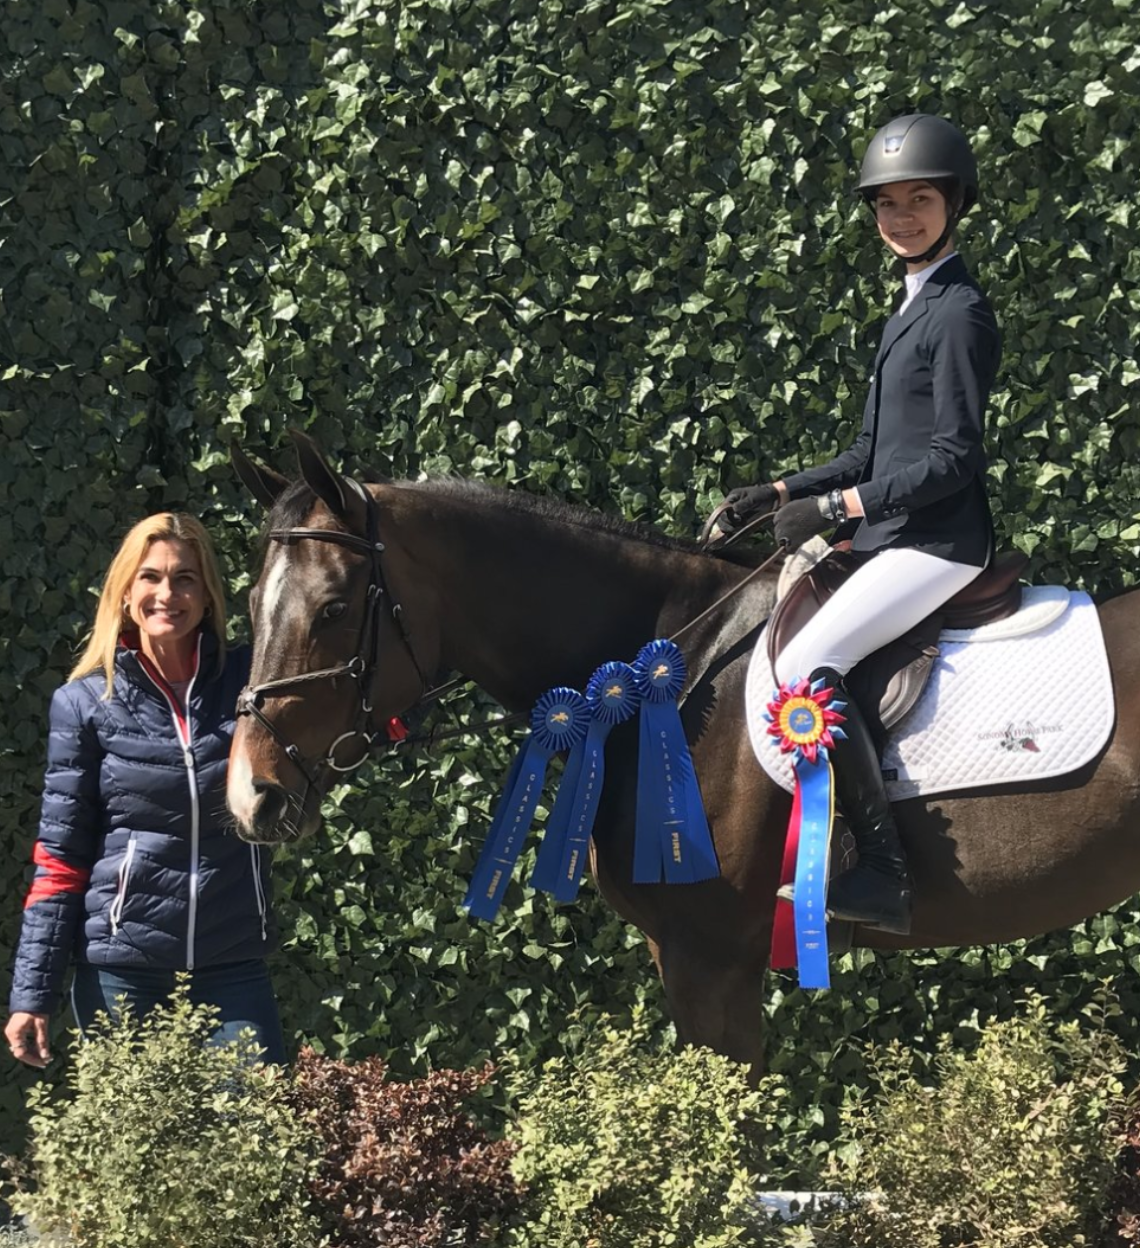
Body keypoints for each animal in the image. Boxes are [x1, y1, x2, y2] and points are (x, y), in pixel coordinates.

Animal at [227, 434, 1138, 1068]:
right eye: (251, 600)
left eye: (334, 608)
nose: (250, 797)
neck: (674, 673)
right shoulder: (692, 959)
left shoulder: (712, 960)